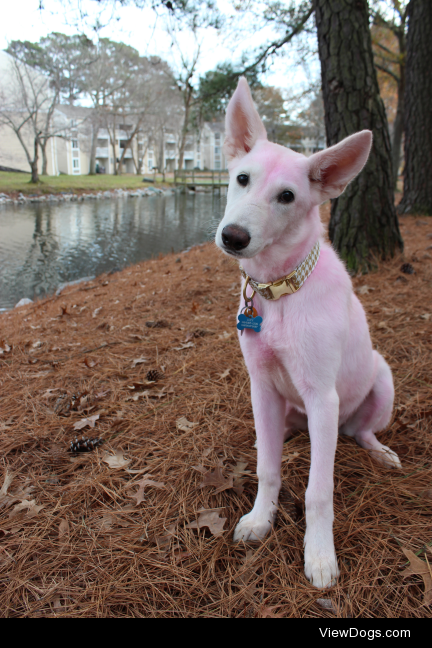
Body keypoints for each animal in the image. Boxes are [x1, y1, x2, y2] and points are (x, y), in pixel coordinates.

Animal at [216, 78, 402, 588]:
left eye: (287, 196)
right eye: (242, 179)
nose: (233, 237)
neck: (279, 292)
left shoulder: (321, 394)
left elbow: (320, 491)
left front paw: (319, 555)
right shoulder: (260, 384)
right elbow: (267, 468)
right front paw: (260, 519)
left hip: (379, 383)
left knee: (361, 432)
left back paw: (379, 452)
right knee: (280, 439)